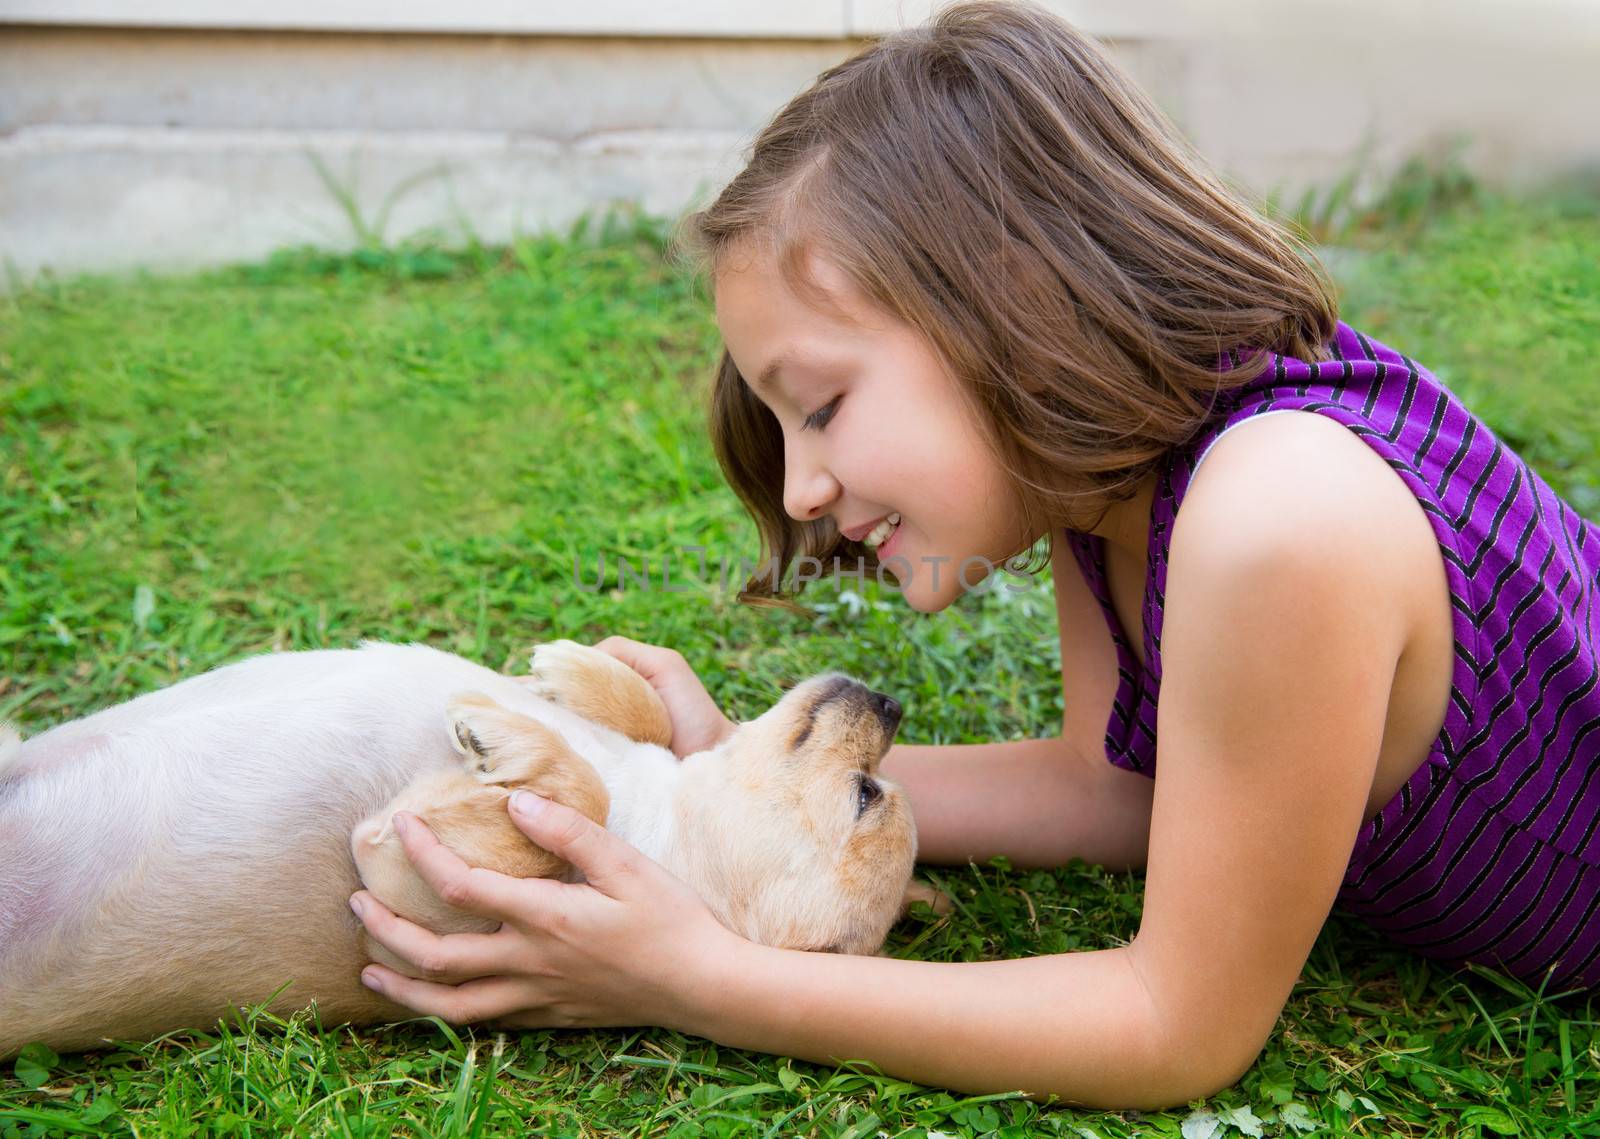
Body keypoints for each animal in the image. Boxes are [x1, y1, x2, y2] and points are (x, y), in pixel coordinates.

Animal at [3, 639, 928, 1055]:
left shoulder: (401, 876)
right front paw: (577, 670)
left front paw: (505, 740)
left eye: (866, 794)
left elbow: (573, 802)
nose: (890, 702)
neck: (660, 822)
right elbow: (649, 717)